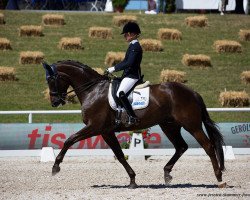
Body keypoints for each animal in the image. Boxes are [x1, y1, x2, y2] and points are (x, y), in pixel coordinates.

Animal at [42, 60, 227, 188]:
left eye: (52, 80)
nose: (54, 102)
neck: (92, 90)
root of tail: (192, 92)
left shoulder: (94, 127)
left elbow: (69, 140)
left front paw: (55, 166)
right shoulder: (106, 131)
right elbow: (119, 155)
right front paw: (132, 179)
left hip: (192, 125)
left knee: (208, 146)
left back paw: (219, 179)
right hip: (169, 125)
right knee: (181, 146)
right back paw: (167, 174)